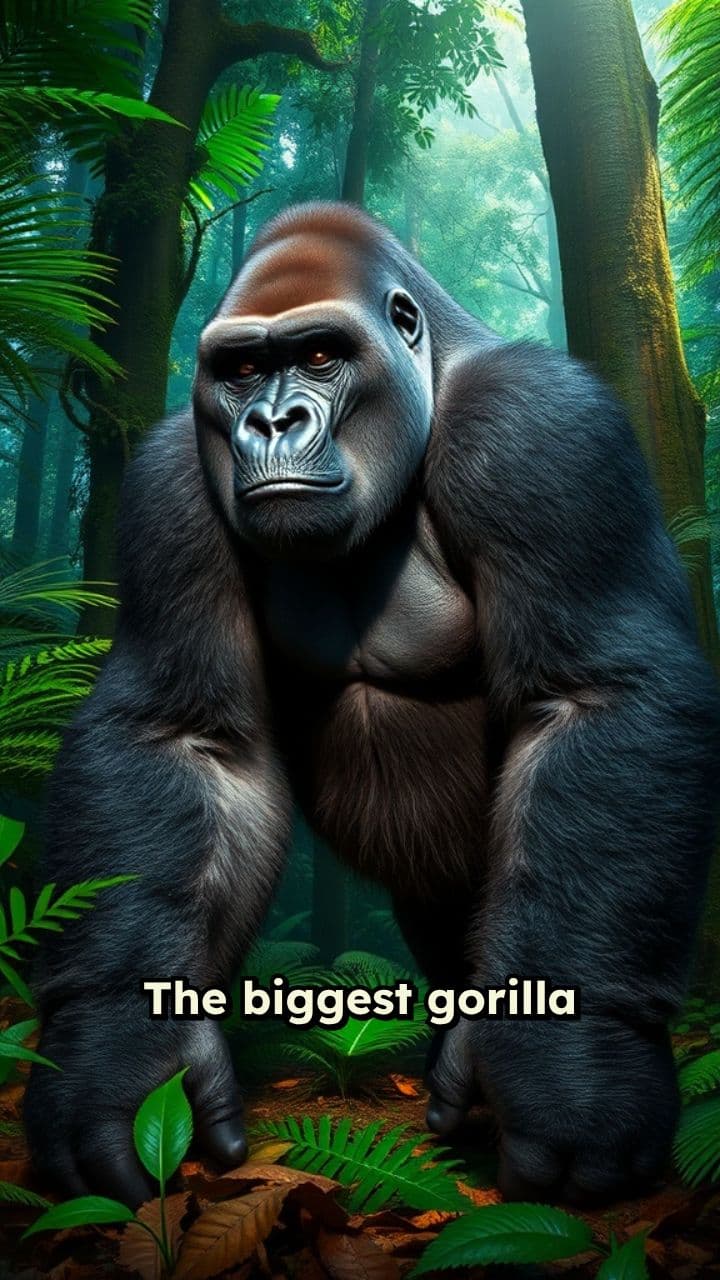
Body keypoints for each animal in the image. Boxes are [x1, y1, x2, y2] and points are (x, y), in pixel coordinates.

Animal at [24, 202, 720, 1207]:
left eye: (321, 356)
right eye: (240, 371)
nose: (271, 420)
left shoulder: (539, 425)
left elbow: (595, 694)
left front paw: (573, 1060)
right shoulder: (169, 484)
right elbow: (181, 739)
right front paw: (115, 1050)